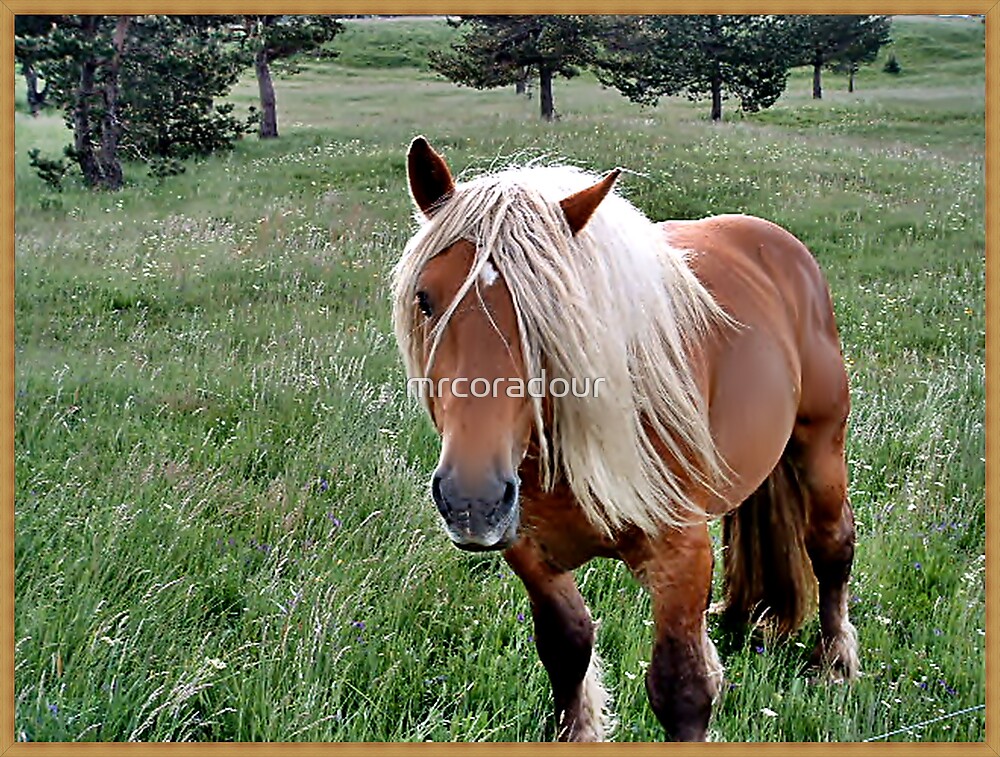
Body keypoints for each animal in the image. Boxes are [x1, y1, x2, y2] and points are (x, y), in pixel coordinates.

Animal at [392, 134, 860, 740]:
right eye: (426, 299)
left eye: (552, 313)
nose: (472, 500)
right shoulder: (530, 554)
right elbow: (567, 651)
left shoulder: (679, 555)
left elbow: (682, 690)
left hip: (821, 445)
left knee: (831, 545)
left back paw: (836, 664)